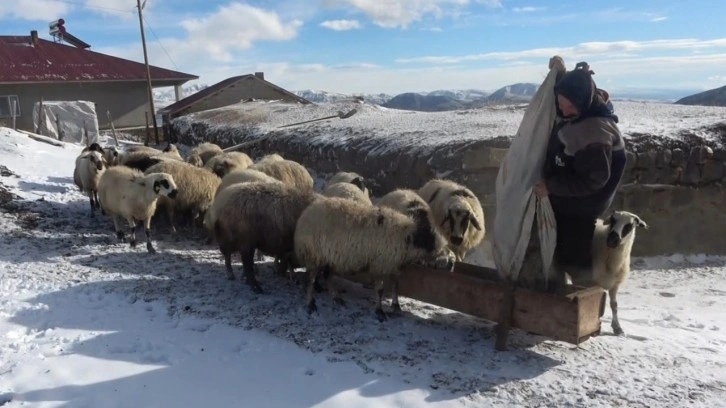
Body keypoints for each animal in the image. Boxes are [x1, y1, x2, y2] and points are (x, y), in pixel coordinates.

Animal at [296, 198, 456, 322]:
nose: (452, 264)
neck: (409, 237)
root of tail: (306, 214)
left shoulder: (394, 265)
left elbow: (396, 286)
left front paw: (396, 306)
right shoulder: (381, 264)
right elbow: (380, 290)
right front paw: (380, 312)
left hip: (330, 257)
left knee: (327, 276)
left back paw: (336, 298)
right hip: (314, 254)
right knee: (311, 279)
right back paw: (310, 304)